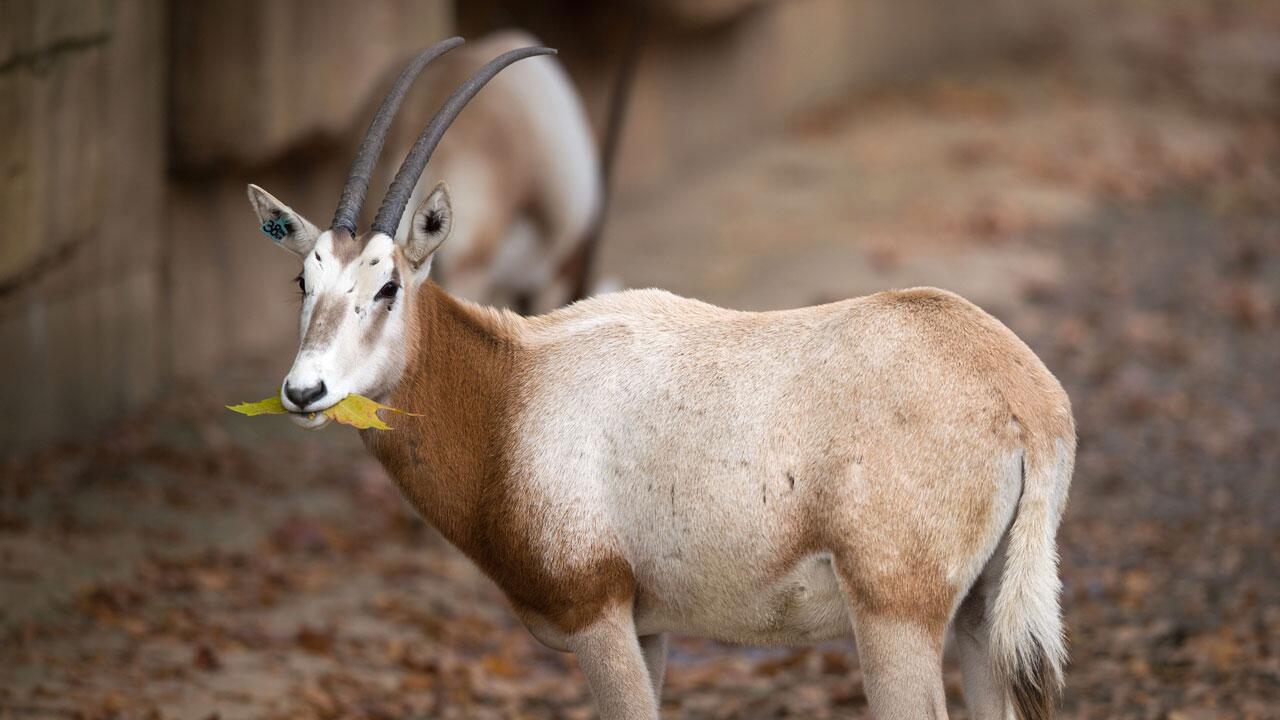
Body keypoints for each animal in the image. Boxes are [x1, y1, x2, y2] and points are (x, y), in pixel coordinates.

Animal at [244, 37, 1075, 717]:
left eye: (387, 286)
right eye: (302, 282)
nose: (304, 393)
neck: (512, 386)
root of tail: (1026, 399)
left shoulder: (597, 615)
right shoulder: (651, 628)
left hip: (894, 615)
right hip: (980, 616)